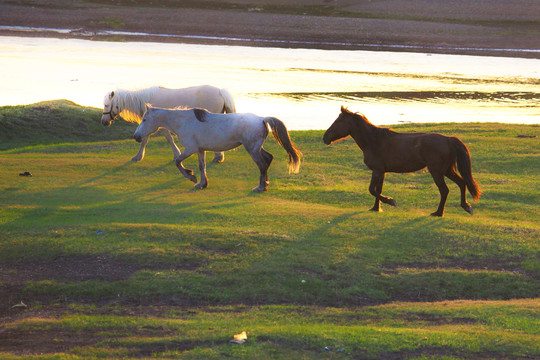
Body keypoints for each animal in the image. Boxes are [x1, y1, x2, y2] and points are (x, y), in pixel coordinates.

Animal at [101, 84, 236, 162]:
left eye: (106, 105)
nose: (104, 122)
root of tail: (220, 91)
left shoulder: (158, 125)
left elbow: (165, 139)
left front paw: (138, 156)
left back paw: (218, 157)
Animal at [133, 105, 302, 193]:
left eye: (145, 119)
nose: (136, 136)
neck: (184, 122)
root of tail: (262, 119)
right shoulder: (200, 149)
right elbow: (202, 166)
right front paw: (201, 184)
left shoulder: (190, 148)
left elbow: (178, 162)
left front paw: (191, 176)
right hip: (256, 148)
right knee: (268, 158)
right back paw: (265, 183)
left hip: (252, 149)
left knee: (262, 164)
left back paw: (260, 186)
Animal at [322, 107, 484, 217]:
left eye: (338, 122)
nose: (325, 138)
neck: (374, 141)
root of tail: (448, 140)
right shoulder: (382, 171)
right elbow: (378, 190)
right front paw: (376, 208)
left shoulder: (377, 170)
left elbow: (372, 189)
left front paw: (390, 201)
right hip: (447, 170)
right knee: (462, 183)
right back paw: (466, 206)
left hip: (437, 171)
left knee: (445, 190)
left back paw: (438, 212)